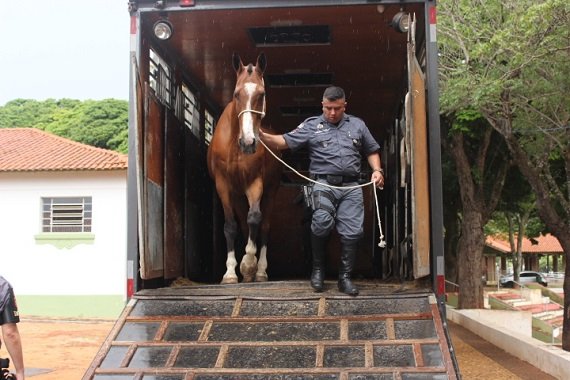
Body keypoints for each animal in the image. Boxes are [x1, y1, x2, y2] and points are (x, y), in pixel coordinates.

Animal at [206, 54, 282, 284]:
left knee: (264, 226)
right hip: (238, 196)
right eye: (236, 94)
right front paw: (230, 272)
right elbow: (230, 226)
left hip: (270, 191)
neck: (234, 145)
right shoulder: (223, 185)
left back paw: (261, 271)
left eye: (261, 94)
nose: (248, 142)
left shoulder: (255, 182)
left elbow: (255, 218)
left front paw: (248, 265)